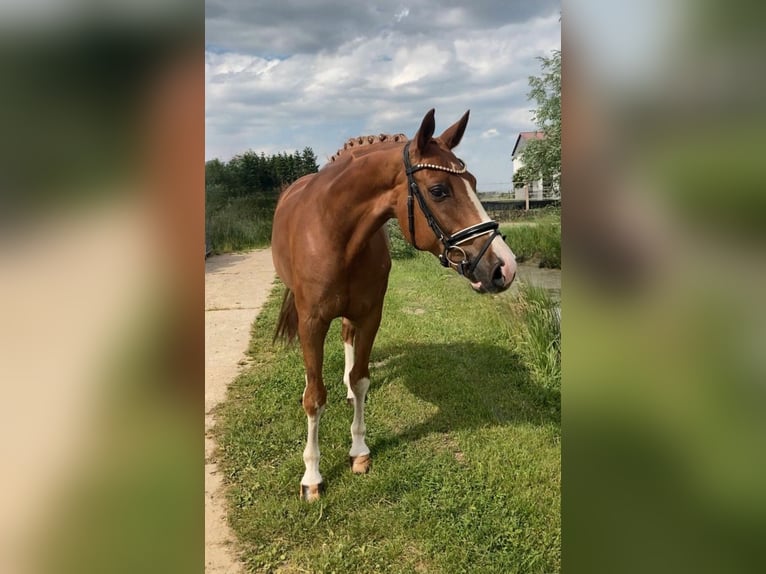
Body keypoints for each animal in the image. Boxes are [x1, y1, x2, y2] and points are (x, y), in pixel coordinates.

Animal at [272, 109, 520, 504]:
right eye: (439, 190)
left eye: (473, 182)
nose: (504, 267)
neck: (335, 232)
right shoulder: (311, 322)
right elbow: (314, 397)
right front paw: (311, 476)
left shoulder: (370, 315)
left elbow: (360, 380)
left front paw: (359, 451)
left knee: (347, 340)